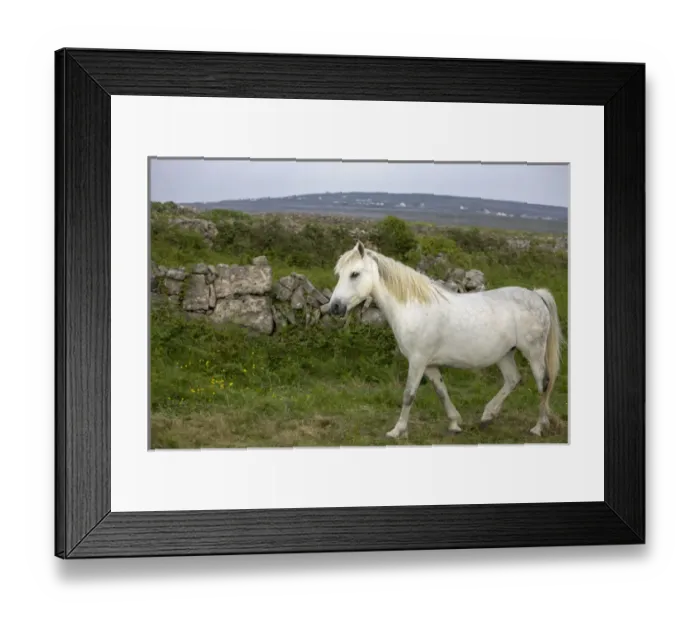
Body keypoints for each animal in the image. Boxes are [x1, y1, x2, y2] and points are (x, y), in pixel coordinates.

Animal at [327, 241, 563, 440]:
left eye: (355, 274)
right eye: (339, 274)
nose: (334, 307)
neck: (414, 307)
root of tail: (536, 295)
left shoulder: (418, 361)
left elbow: (409, 395)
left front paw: (397, 430)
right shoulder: (430, 365)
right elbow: (441, 392)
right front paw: (454, 423)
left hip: (533, 353)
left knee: (544, 384)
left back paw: (538, 427)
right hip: (505, 354)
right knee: (513, 380)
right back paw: (487, 416)